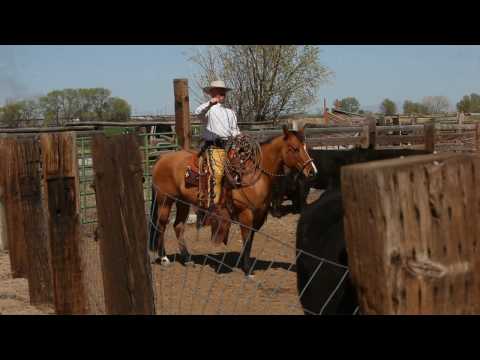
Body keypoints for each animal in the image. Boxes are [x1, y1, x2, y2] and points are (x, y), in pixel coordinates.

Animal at [148, 126, 316, 276]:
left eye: (305, 147)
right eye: (294, 148)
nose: (312, 171)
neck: (254, 174)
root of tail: (162, 158)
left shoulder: (258, 214)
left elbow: (250, 239)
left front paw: (244, 264)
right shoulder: (245, 213)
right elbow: (246, 239)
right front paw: (247, 269)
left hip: (182, 202)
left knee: (178, 226)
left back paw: (187, 258)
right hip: (165, 201)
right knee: (161, 226)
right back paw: (164, 258)